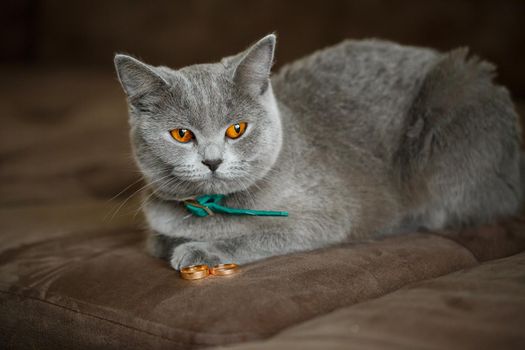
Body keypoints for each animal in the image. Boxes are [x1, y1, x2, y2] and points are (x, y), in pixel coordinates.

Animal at [113, 34, 520, 270]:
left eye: (236, 129)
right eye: (181, 134)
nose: (212, 161)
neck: (214, 209)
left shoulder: (328, 215)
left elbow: (263, 234)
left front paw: (200, 250)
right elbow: (157, 240)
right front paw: (174, 242)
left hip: (455, 99)